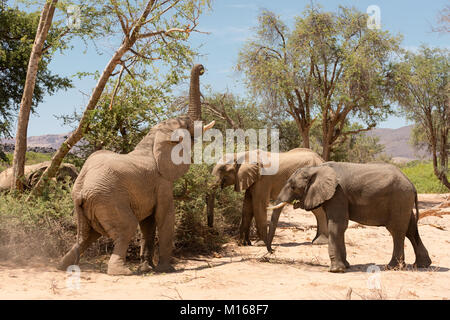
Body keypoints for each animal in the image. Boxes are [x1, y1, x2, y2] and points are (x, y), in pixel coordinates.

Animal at [57, 64, 215, 276]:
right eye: (187, 126)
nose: (201, 69)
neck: (153, 138)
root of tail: (81, 191)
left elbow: (148, 224)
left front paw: (147, 267)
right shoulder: (161, 182)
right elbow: (164, 217)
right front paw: (167, 269)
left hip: (85, 206)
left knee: (85, 237)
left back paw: (62, 267)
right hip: (108, 199)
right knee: (126, 228)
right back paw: (122, 271)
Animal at [268, 161, 432, 274]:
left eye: (293, 187)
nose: (272, 252)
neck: (316, 168)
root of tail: (412, 184)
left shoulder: (337, 194)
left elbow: (337, 224)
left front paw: (336, 271)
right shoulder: (334, 195)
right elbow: (338, 226)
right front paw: (346, 266)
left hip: (399, 199)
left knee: (396, 231)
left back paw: (392, 267)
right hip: (404, 201)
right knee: (411, 229)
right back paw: (422, 265)